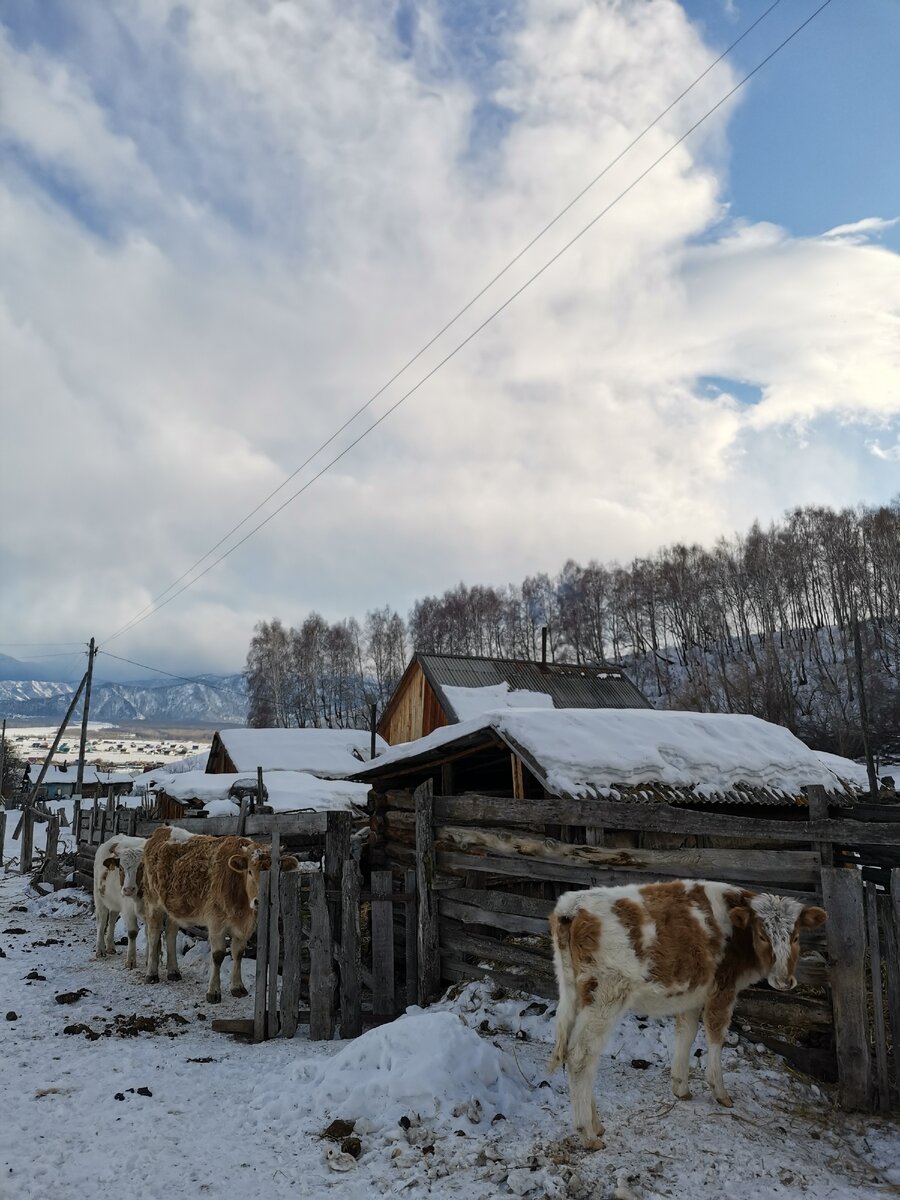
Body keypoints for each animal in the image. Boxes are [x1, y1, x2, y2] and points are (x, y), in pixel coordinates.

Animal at [94, 840, 147, 969]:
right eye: (121, 868)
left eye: (141, 866)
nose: (128, 890)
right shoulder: (128, 909)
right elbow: (132, 932)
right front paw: (131, 961)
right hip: (99, 898)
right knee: (101, 922)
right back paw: (100, 950)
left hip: (115, 902)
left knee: (112, 920)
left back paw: (110, 947)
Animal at [139, 825, 297, 1003]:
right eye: (249, 871)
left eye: (276, 872)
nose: (259, 901)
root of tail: (162, 829)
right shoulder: (216, 922)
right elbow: (218, 955)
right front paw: (213, 992)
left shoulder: (244, 929)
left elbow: (238, 953)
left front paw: (237, 987)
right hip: (153, 903)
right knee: (153, 935)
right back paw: (151, 974)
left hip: (174, 907)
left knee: (170, 934)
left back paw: (173, 971)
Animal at [547, 878, 830, 1147]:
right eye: (762, 935)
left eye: (795, 937)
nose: (784, 981)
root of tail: (572, 905)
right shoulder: (723, 989)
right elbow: (715, 1034)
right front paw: (719, 1090)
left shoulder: (694, 993)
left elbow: (687, 1032)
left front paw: (680, 1086)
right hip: (606, 996)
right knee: (581, 1056)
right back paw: (587, 1134)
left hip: (575, 993)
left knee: (579, 1054)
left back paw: (595, 1123)